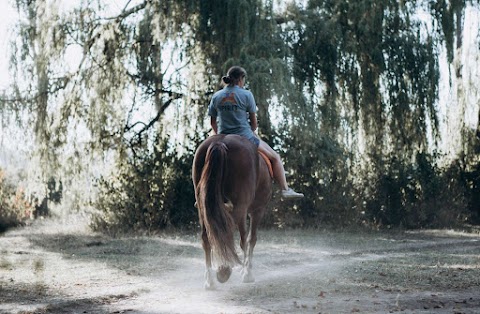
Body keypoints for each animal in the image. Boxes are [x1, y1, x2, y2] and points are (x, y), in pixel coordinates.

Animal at [193, 134, 272, 288]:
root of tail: (220, 142)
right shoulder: (257, 210)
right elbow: (250, 239)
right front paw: (247, 273)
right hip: (240, 207)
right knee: (228, 233)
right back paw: (224, 270)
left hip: (203, 208)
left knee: (207, 237)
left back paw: (210, 279)